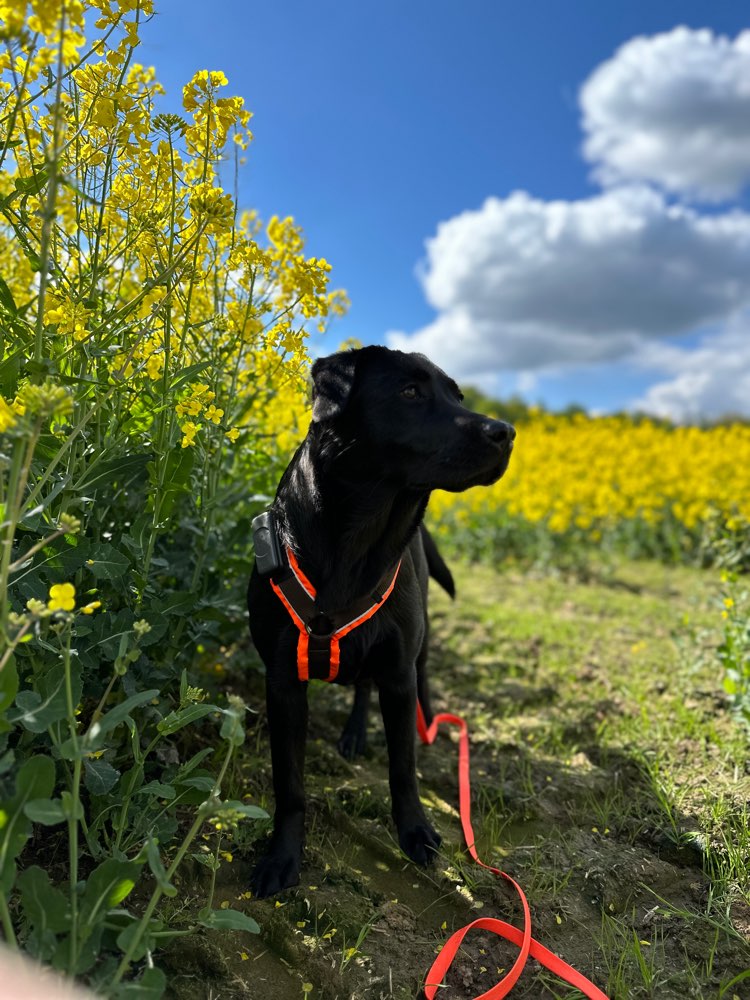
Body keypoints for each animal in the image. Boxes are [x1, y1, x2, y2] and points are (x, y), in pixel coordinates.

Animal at [250, 346, 516, 900]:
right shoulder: (282, 681)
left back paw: (428, 722)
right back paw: (353, 735)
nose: (505, 431)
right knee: (359, 687)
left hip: (420, 639)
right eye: (410, 392)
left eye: (459, 396)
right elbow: (290, 785)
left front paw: (415, 833)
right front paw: (281, 858)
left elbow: (403, 769)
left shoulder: (397, 673)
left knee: (418, 678)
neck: (358, 542)